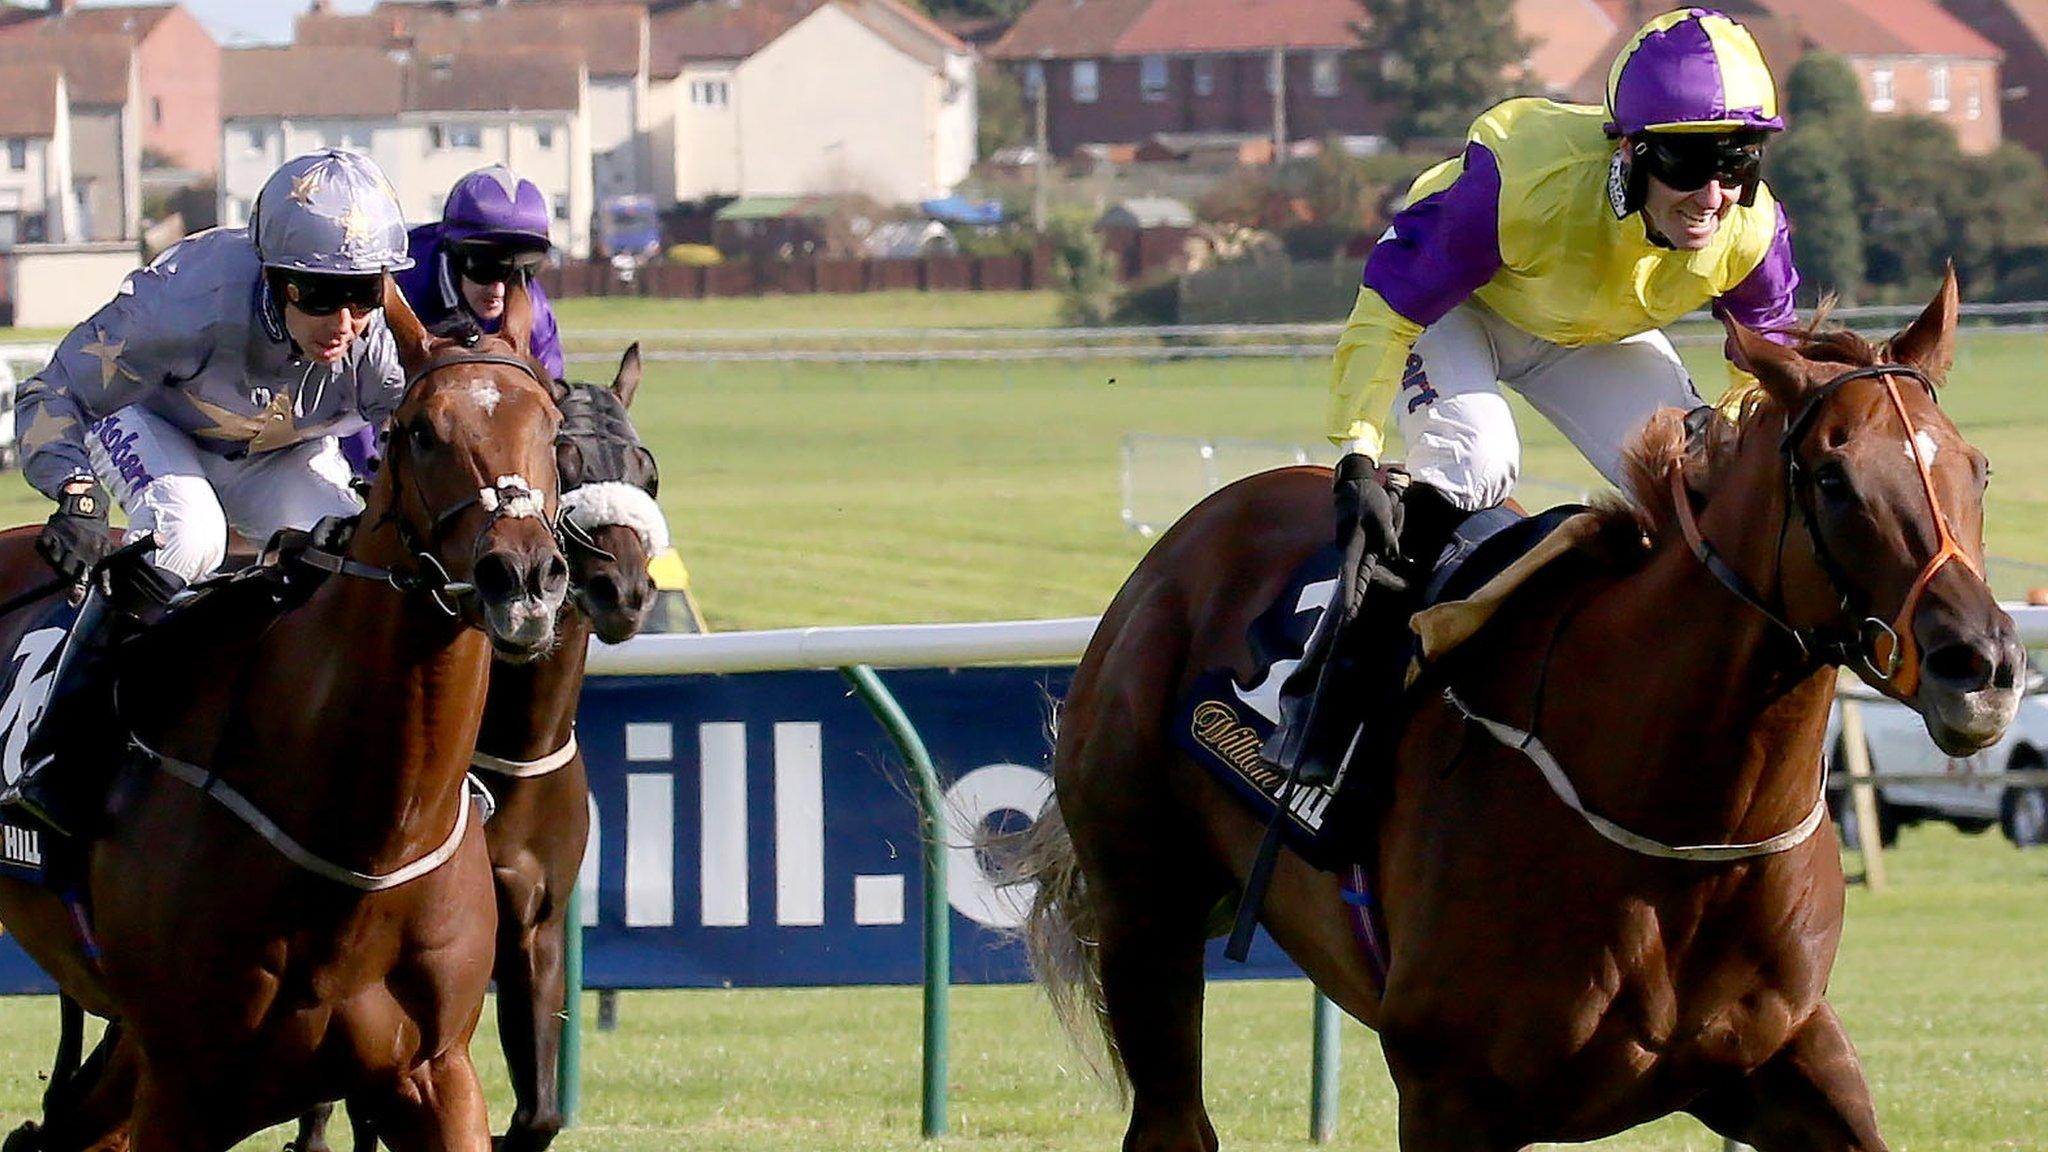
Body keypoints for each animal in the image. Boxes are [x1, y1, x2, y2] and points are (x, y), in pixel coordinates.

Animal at [0, 280, 569, 1147]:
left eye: (552, 425)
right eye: (420, 432)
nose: (526, 578)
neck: (365, 840)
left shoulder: (435, 1073)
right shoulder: (182, 1085)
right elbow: (59, 391)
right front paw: (81, 523)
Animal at [294, 342, 663, 1147]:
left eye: (647, 471)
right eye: (569, 461)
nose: (622, 590)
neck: (513, 749)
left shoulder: (534, 925)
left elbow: (540, 1111)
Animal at [1007, 270, 2015, 1147]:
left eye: (1977, 469)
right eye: (1834, 480)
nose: (1985, 665)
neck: (1675, 819)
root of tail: (1179, 546)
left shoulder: (1781, 1059)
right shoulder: (1452, 1094)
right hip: (1145, 917)